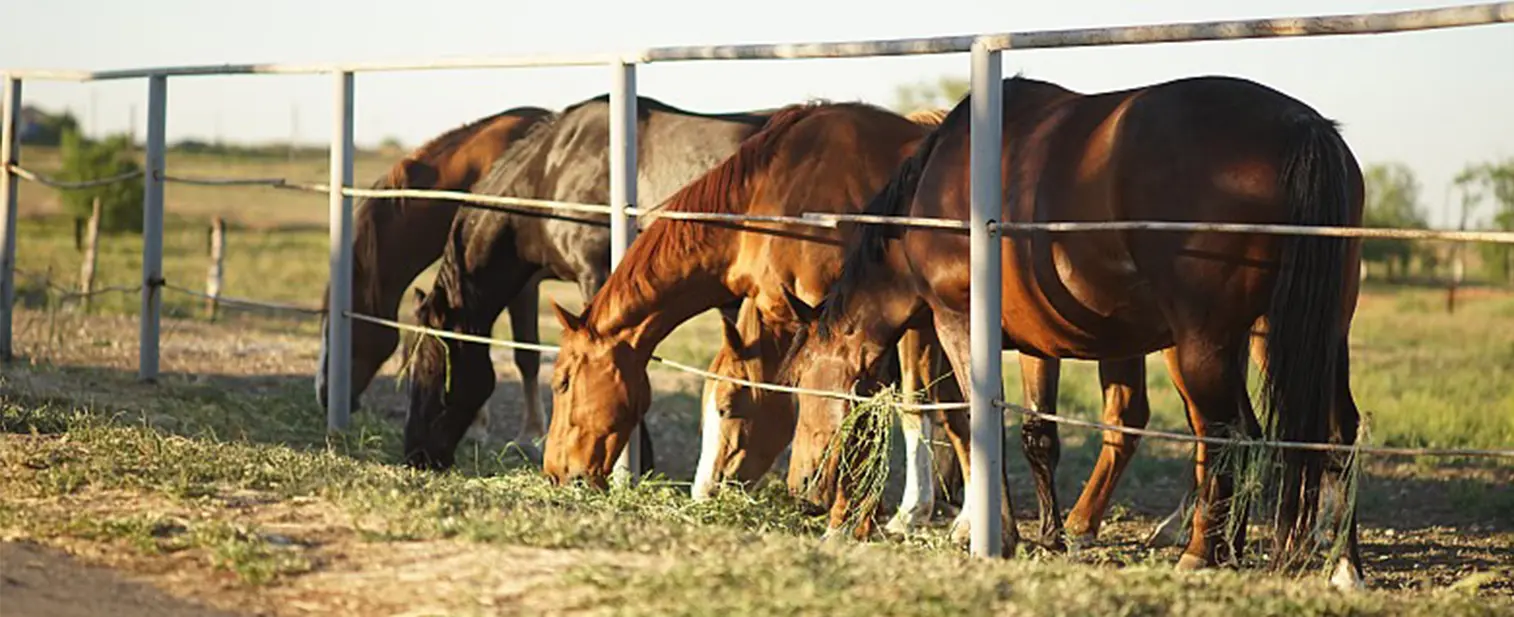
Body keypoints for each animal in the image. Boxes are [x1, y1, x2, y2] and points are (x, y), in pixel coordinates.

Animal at [315, 106, 552, 444]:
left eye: (336, 327)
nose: (323, 394)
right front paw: (477, 428)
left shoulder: (524, 287)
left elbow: (526, 356)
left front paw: (531, 435)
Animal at [775, 75, 1365, 586]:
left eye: (803, 383)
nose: (800, 487)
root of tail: (1300, 126)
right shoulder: (1039, 342)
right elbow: (1038, 435)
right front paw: (1051, 536)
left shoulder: (957, 321)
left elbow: (974, 423)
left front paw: (996, 534)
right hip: (1309, 338)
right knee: (1334, 433)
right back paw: (1340, 566)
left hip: (1206, 343)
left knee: (1227, 434)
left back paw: (1201, 552)